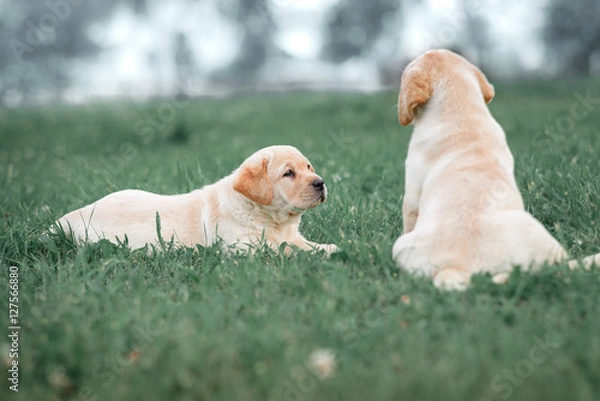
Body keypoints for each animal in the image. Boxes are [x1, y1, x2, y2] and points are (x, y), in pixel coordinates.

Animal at [56, 145, 338, 253]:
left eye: (309, 167)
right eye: (288, 173)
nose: (320, 183)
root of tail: (74, 215)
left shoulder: (293, 235)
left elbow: (304, 244)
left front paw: (330, 247)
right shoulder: (245, 248)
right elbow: (288, 249)